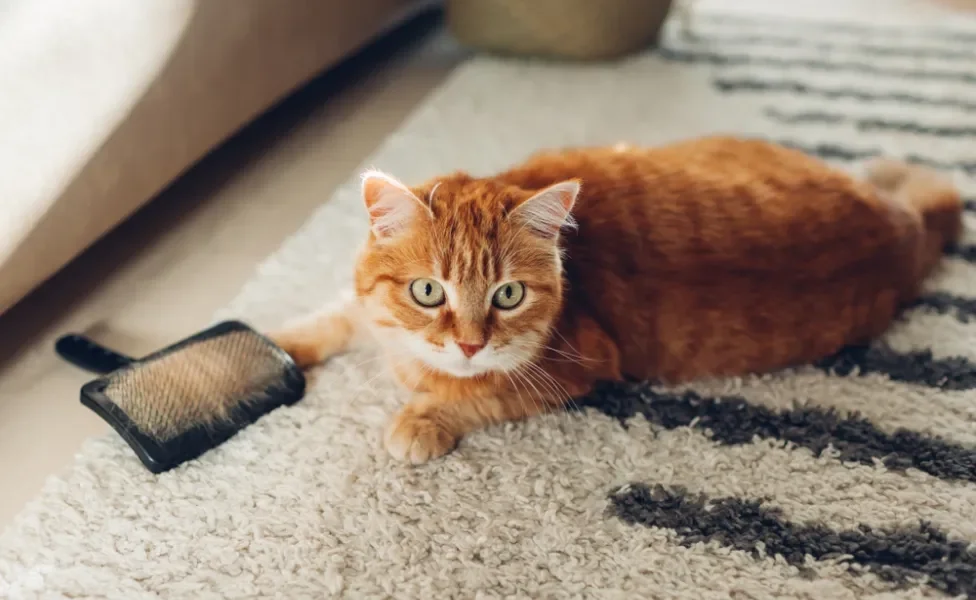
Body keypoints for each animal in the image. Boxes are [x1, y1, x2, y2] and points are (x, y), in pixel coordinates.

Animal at [268, 136, 960, 464]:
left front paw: (420, 420)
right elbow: (338, 314)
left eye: (508, 295)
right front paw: (277, 345)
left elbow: (475, 397)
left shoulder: (575, 370)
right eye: (427, 290)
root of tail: (902, 226)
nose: (468, 343)